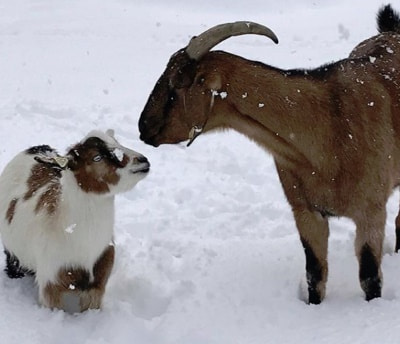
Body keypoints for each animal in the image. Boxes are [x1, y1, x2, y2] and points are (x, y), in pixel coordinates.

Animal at [139, 5, 400, 304]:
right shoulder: (305, 211)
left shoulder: (371, 210)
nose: (143, 127)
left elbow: (369, 277)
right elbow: (315, 273)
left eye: (176, 85)